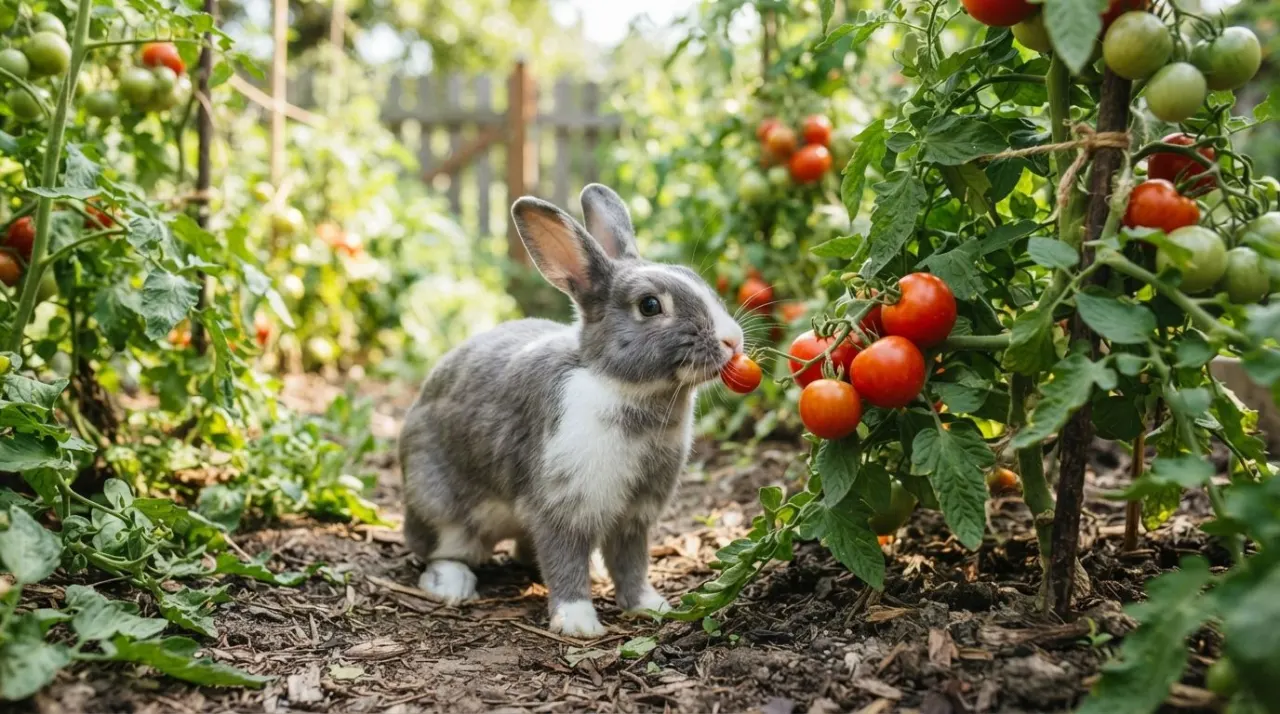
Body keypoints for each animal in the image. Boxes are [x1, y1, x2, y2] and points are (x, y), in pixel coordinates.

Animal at [398, 183, 745, 637]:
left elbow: (631, 564)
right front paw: (579, 623)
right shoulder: (561, 506)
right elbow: (564, 561)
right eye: (650, 305)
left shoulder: (635, 517)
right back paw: (452, 584)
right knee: (442, 549)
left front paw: (650, 606)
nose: (733, 340)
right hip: (439, 506)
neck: (622, 387)